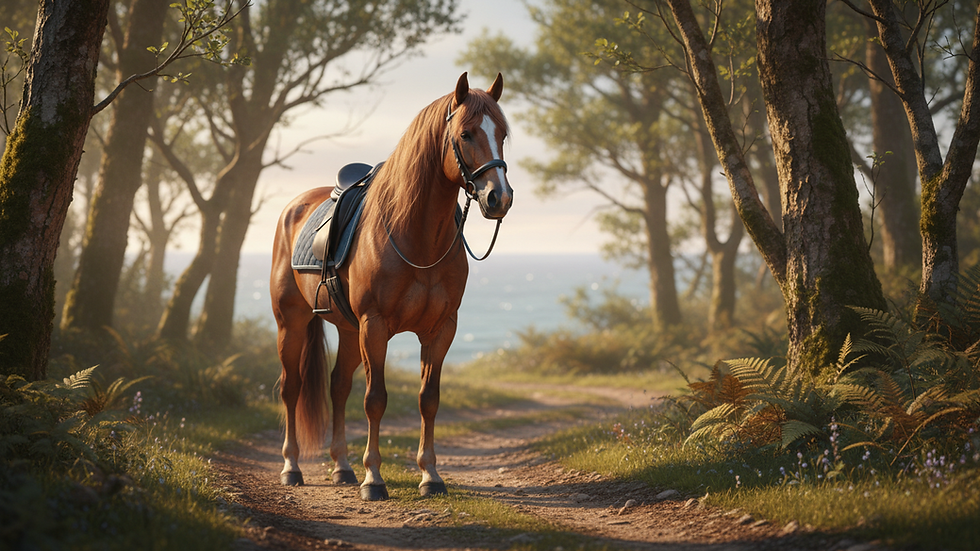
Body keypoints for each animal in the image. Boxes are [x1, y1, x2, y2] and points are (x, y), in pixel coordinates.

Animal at [269, 72, 512, 501]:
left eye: (502, 134)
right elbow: (375, 400)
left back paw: (342, 467)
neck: (416, 235)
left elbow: (428, 399)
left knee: (337, 387)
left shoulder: (440, 329)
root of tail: (295, 205)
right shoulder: (375, 325)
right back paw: (292, 467)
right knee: (291, 388)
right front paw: (374, 479)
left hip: (348, 330)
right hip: (292, 323)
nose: (498, 197)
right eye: (465, 134)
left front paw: (430, 475)